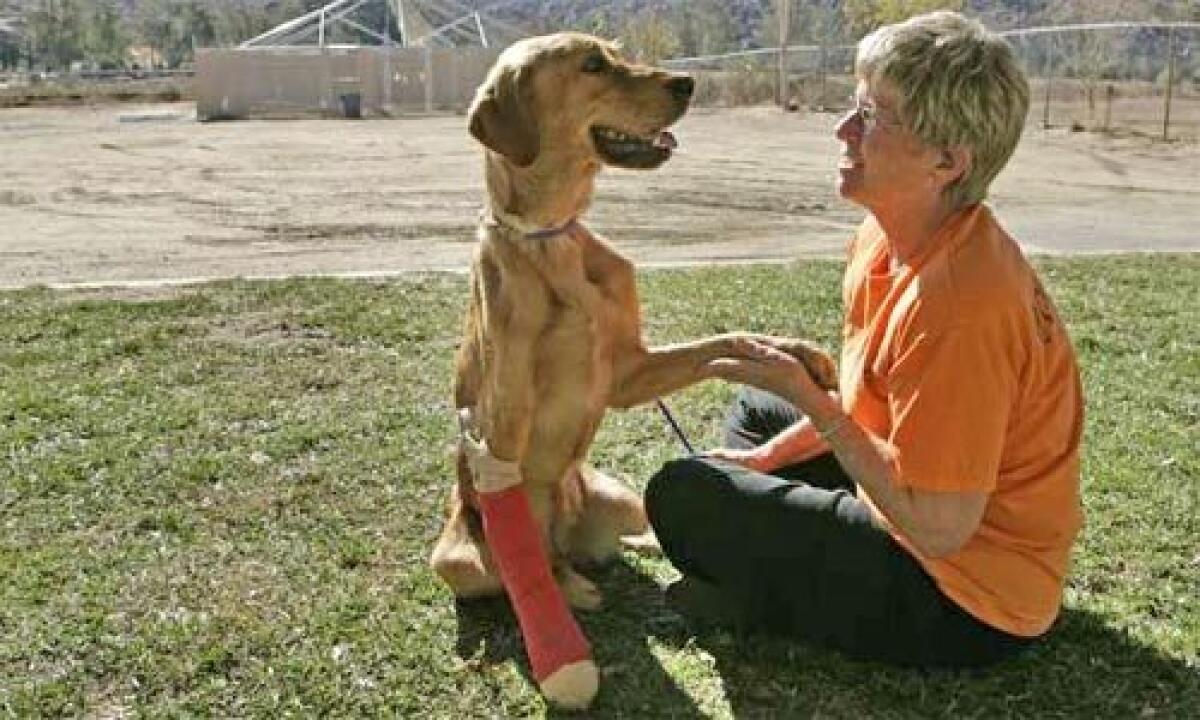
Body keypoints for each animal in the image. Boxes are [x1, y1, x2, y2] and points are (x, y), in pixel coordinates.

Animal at [429, 32, 835, 607]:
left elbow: (726, 343)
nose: (688, 83)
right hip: (456, 560)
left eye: (616, 52)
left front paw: (795, 354)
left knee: (630, 530)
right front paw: (562, 599)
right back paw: (572, 582)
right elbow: (528, 546)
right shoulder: (503, 424)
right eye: (592, 65)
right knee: (531, 556)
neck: (553, 240)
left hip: (619, 495)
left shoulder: (626, 372)